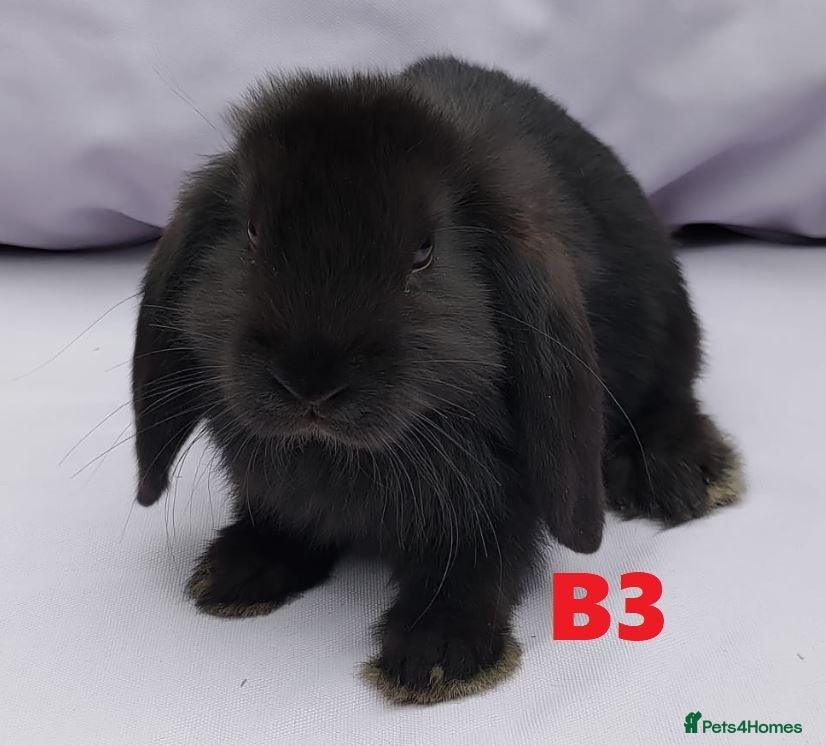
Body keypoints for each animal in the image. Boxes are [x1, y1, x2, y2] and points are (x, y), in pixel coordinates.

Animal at [131, 55, 743, 704]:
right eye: (250, 233)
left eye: (424, 252)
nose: (309, 385)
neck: (341, 455)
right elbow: (281, 514)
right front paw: (238, 569)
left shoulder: (503, 499)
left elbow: (481, 562)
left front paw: (437, 655)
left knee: (670, 395)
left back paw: (683, 472)